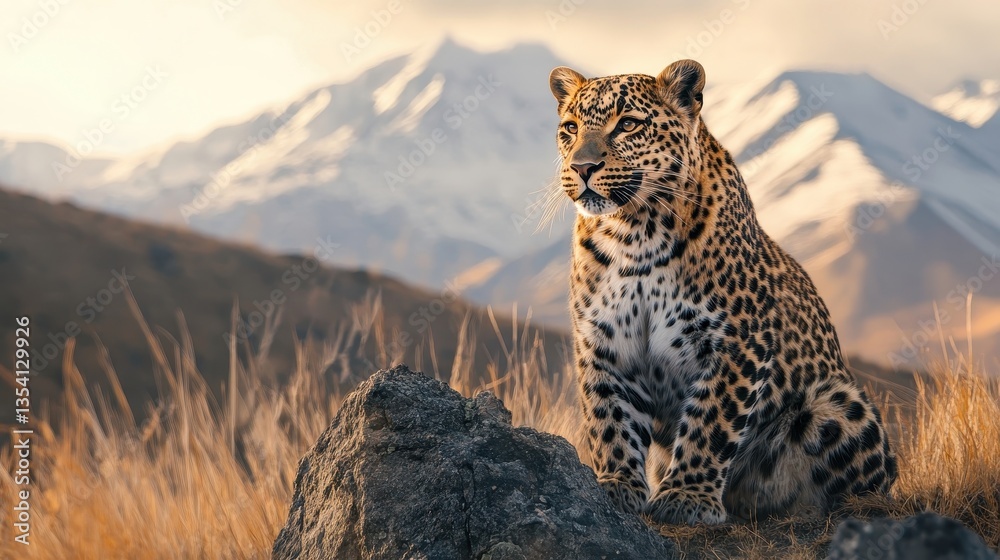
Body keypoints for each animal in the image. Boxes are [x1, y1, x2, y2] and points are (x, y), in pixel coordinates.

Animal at [547, 59, 898, 526]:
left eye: (628, 125)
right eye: (570, 128)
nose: (582, 167)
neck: (634, 232)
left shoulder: (736, 341)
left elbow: (710, 421)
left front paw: (687, 496)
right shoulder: (603, 343)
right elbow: (610, 419)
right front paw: (616, 487)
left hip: (838, 402)